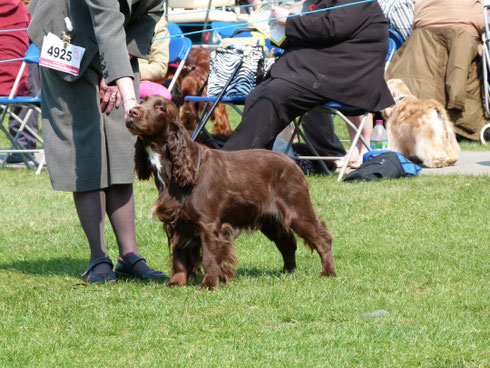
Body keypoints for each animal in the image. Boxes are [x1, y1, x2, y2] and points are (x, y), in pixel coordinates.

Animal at [126, 95, 336, 290]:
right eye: (143, 101)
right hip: (271, 220)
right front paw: (176, 283)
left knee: (322, 239)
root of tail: (294, 163)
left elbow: (209, 258)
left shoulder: (208, 225)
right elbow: (179, 258)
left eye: (160, 108)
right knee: (288, 243)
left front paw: (209, 284)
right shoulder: (178, 222)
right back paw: (288, 271)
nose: (131, 112)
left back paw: (328, 272)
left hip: (298, 212)